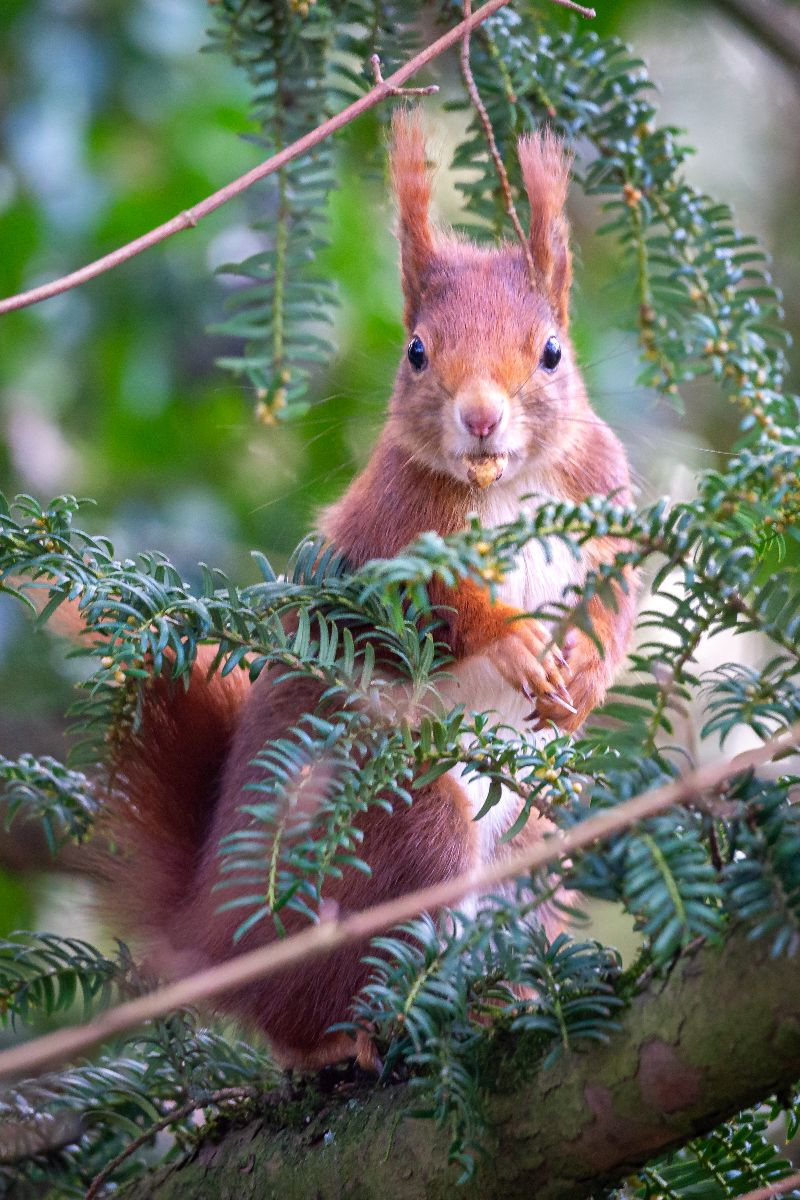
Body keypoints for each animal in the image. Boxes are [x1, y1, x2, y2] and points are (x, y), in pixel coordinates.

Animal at [98, 110, 637, 1071]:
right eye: (417, 352)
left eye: (551, 353)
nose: (482, 417)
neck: (508, 486)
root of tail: (219, 936)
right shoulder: (387, 545)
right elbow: (428, 612)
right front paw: (513, 641)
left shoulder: (605, 509)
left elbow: (619, 602)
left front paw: (580, 673)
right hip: (402, 830)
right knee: (319, 1004)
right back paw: (366, 1034)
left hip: (536, 847)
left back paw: (514, 993)